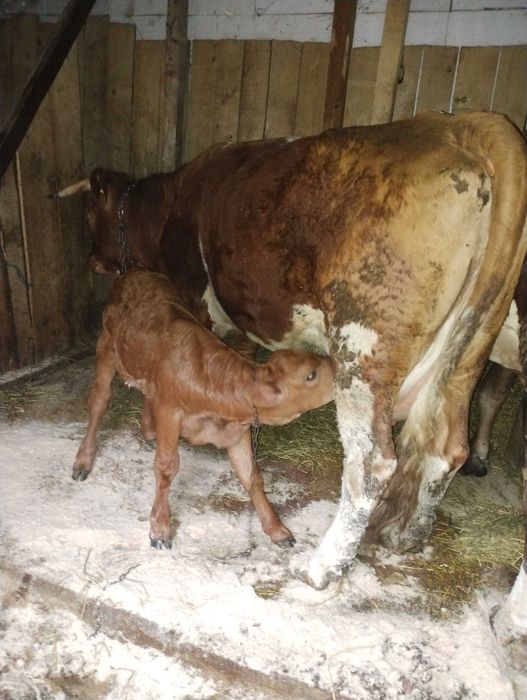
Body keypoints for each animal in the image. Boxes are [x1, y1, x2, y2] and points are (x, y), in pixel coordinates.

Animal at [72, 268, 335, 549]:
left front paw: (276, 529)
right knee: (99, 400)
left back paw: (148, 429)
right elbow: (166, 467)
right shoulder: (170, 411)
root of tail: (134, 271)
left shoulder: (237, 430)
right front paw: (160, 528)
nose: (337, 365)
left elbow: (252, 475)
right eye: (311, 375)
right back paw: (83, 461)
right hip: (106, 347)